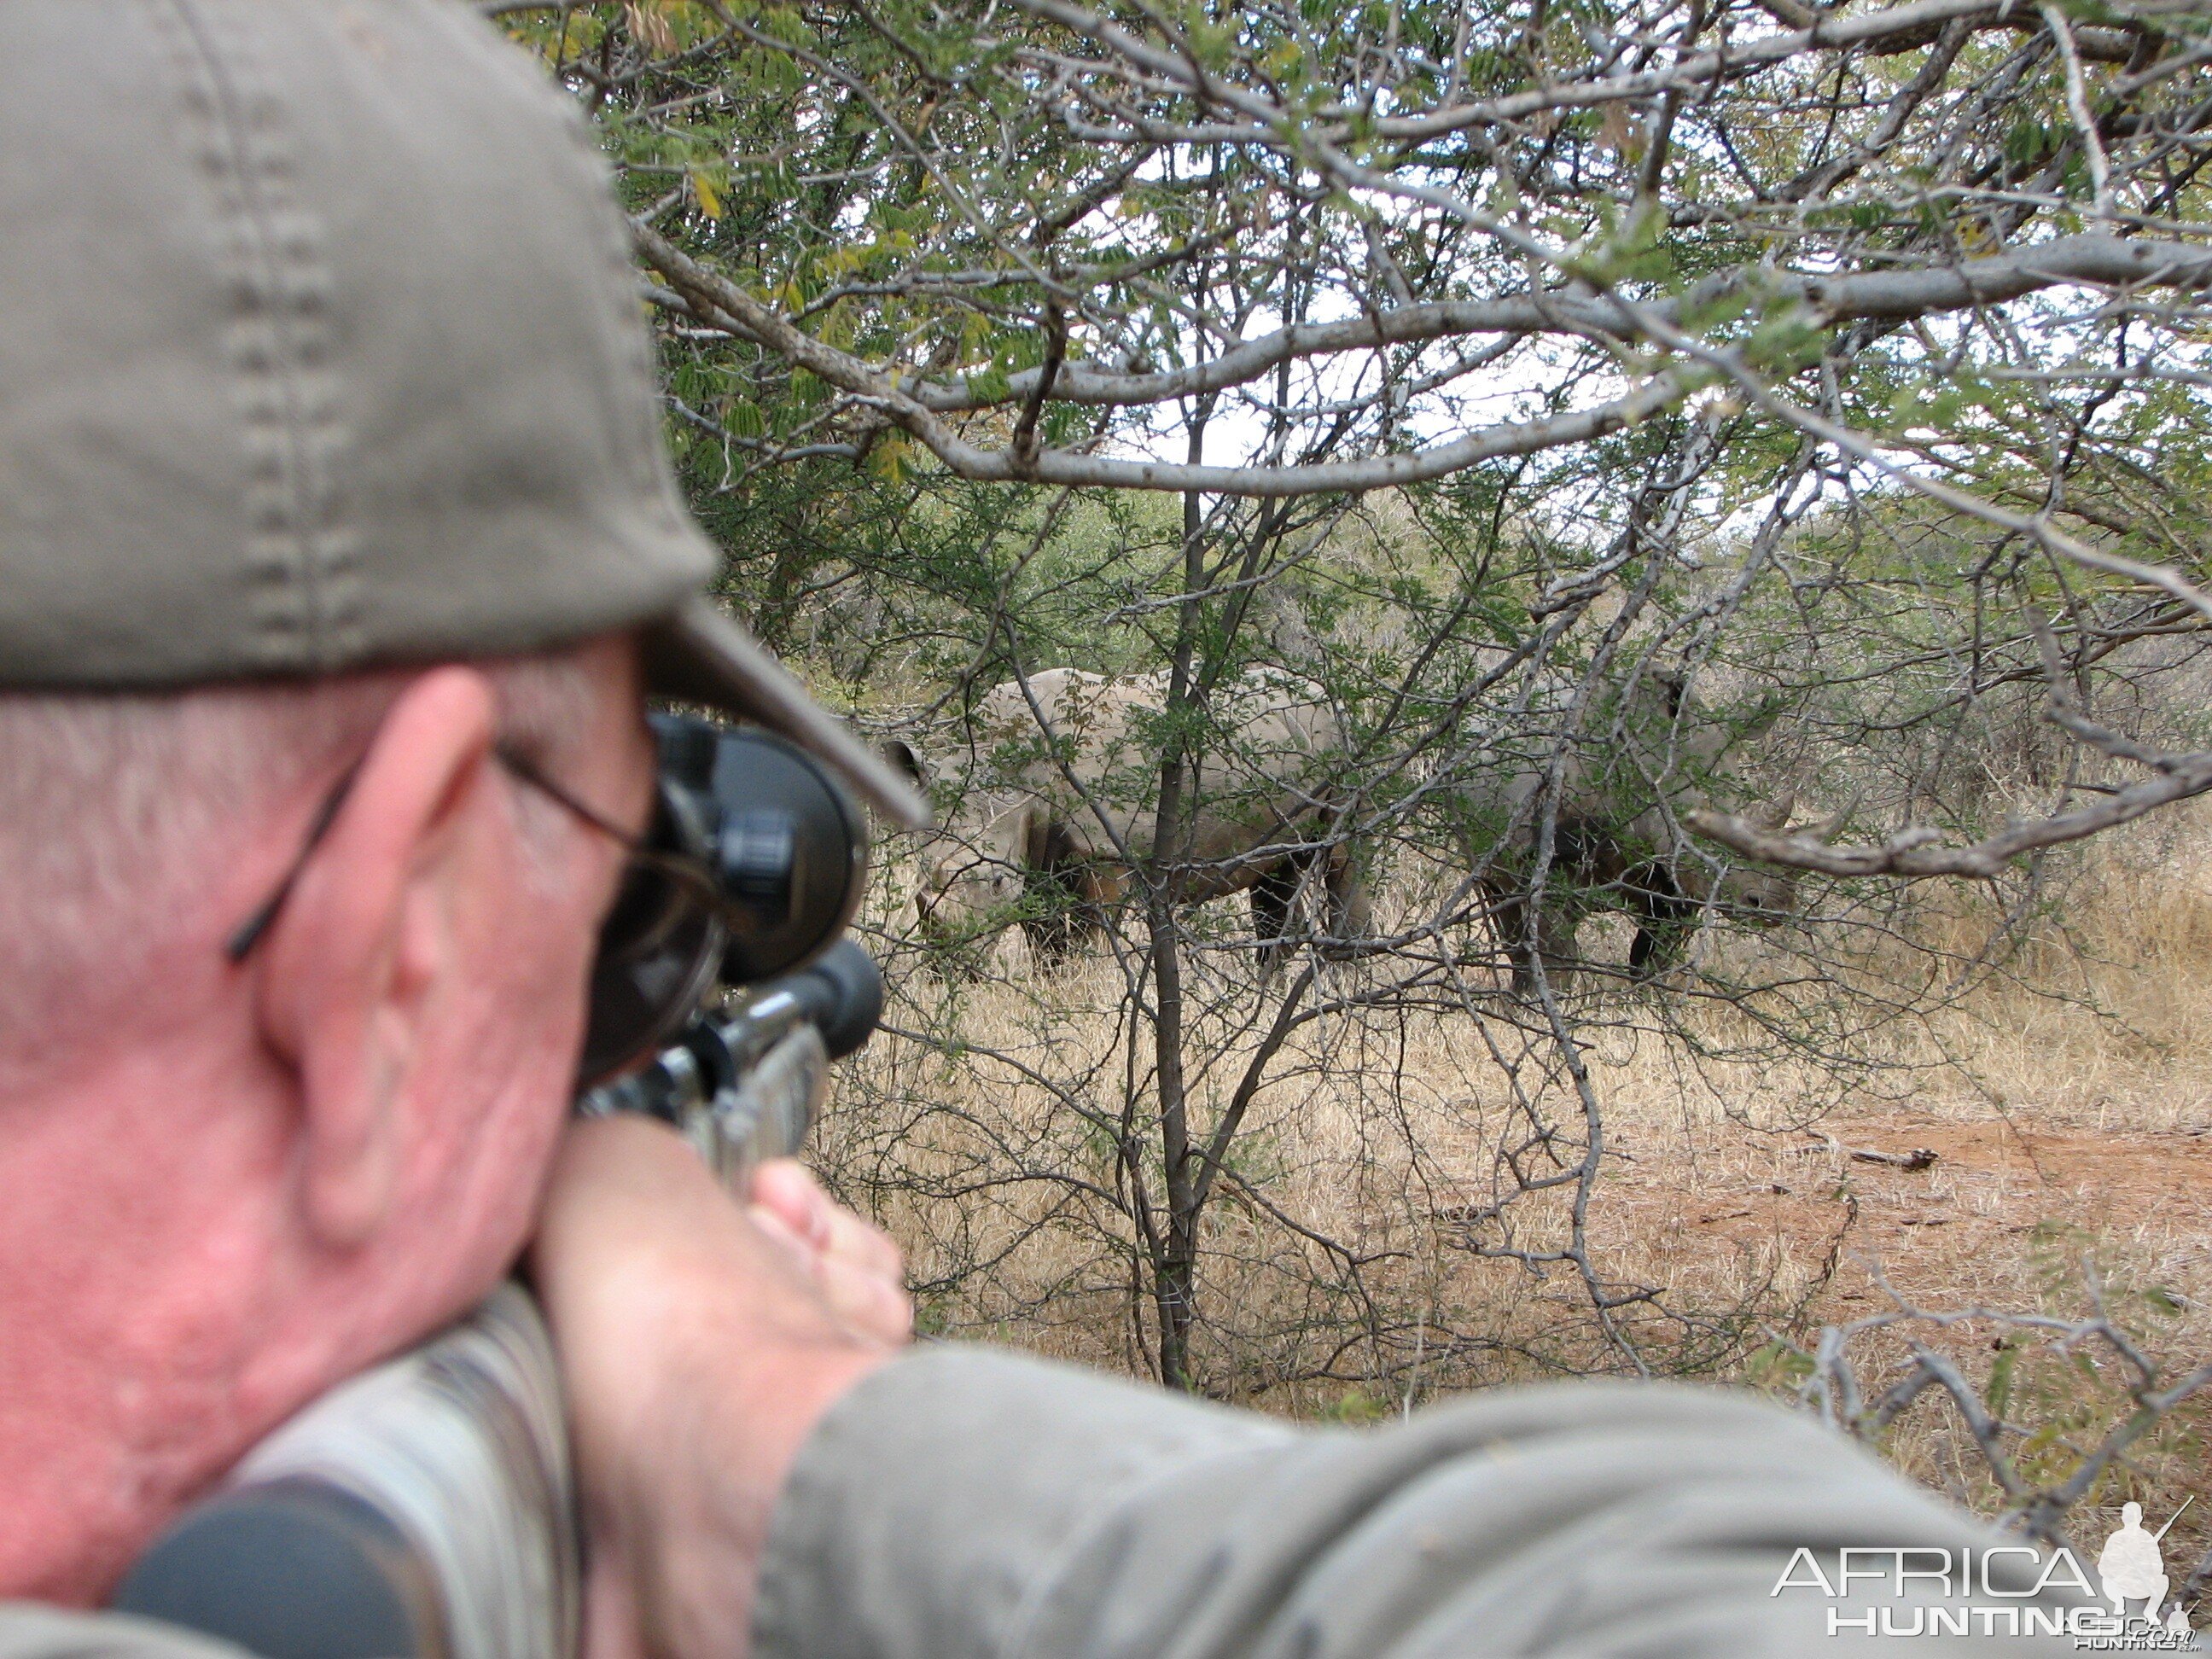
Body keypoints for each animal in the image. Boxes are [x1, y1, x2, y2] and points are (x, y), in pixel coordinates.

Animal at [884, 667, 1362, 969]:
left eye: (997, 882)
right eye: (918, 883)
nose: (948, 963)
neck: (1014, 777)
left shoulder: (1105, 854)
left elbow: (1088, 939)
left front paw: (1084, 993)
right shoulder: (1036, 855)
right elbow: (1045, 943)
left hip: (1344, 738)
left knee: (1343, 862)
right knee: (1278, 876)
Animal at [1441, 667, 1822, 995]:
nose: (1775, 908)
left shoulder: (1678, 881)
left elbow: (1652, 957)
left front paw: (1649, 1006)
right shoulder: (1545, 857)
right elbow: (1555, 951)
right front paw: (1547, 1003)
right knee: (1500, 898)